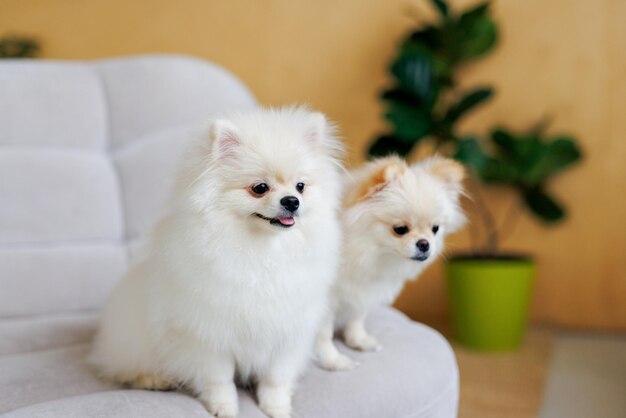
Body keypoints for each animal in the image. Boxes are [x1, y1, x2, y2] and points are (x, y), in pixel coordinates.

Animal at [89, 107, 342, 418]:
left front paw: (276, 407)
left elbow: (275, 378)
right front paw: (224, 407)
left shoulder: (287, 332)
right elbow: (219, 379)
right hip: (134, 341)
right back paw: (153, 379)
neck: (263, 252)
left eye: (301, 186)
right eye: (260, 188)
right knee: (124, 368)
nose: (292, 201)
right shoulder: (207, 335)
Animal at [314, 156, 466, 370]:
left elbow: (356, 318)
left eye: (435, 229)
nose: (424, 244)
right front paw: (332, 360)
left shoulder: (362, 292)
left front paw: (358, 340)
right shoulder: (325, 301)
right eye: (400, 229)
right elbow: (324, 333)